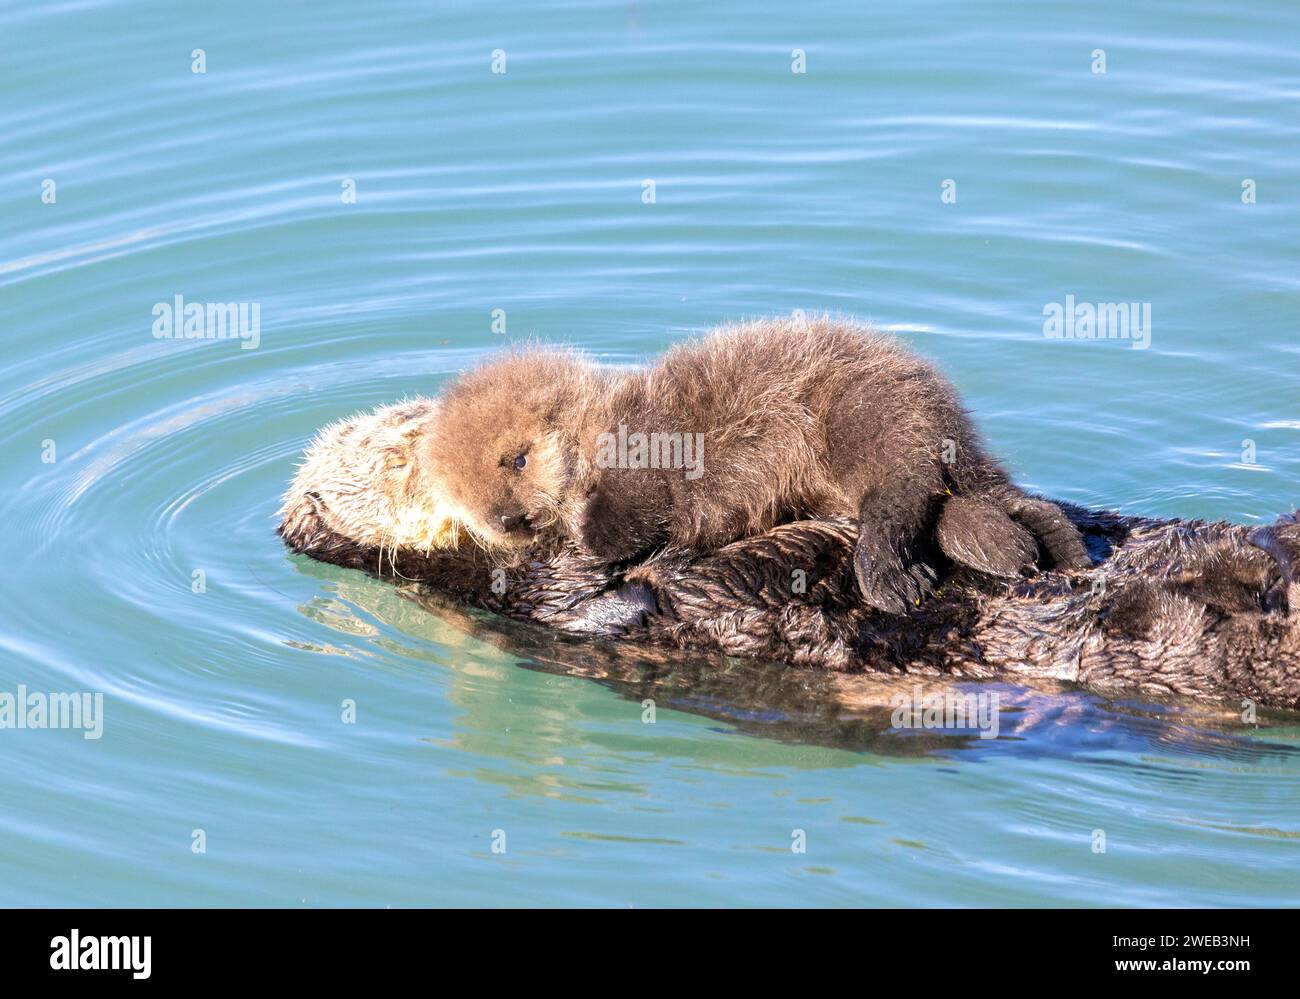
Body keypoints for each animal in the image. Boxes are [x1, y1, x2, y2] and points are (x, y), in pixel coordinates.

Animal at [421, 319, 1092, 616]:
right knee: (990, 496)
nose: (507, 519)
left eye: (517, 458)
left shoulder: (641, 456)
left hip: (866, 418)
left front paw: (592, 538)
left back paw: (890, 575)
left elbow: (628, 513)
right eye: (468, 503)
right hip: (956, 460)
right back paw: (1048, 540)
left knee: (902, 493)